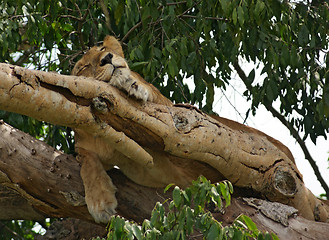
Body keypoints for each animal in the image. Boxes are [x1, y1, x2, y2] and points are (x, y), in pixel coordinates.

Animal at [72, 36, 308, 225]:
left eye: (102, 48)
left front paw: (129, 83)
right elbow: (85, 160)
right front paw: (100, 203)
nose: (107, 58)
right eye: (83, 67)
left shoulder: (173, 117)